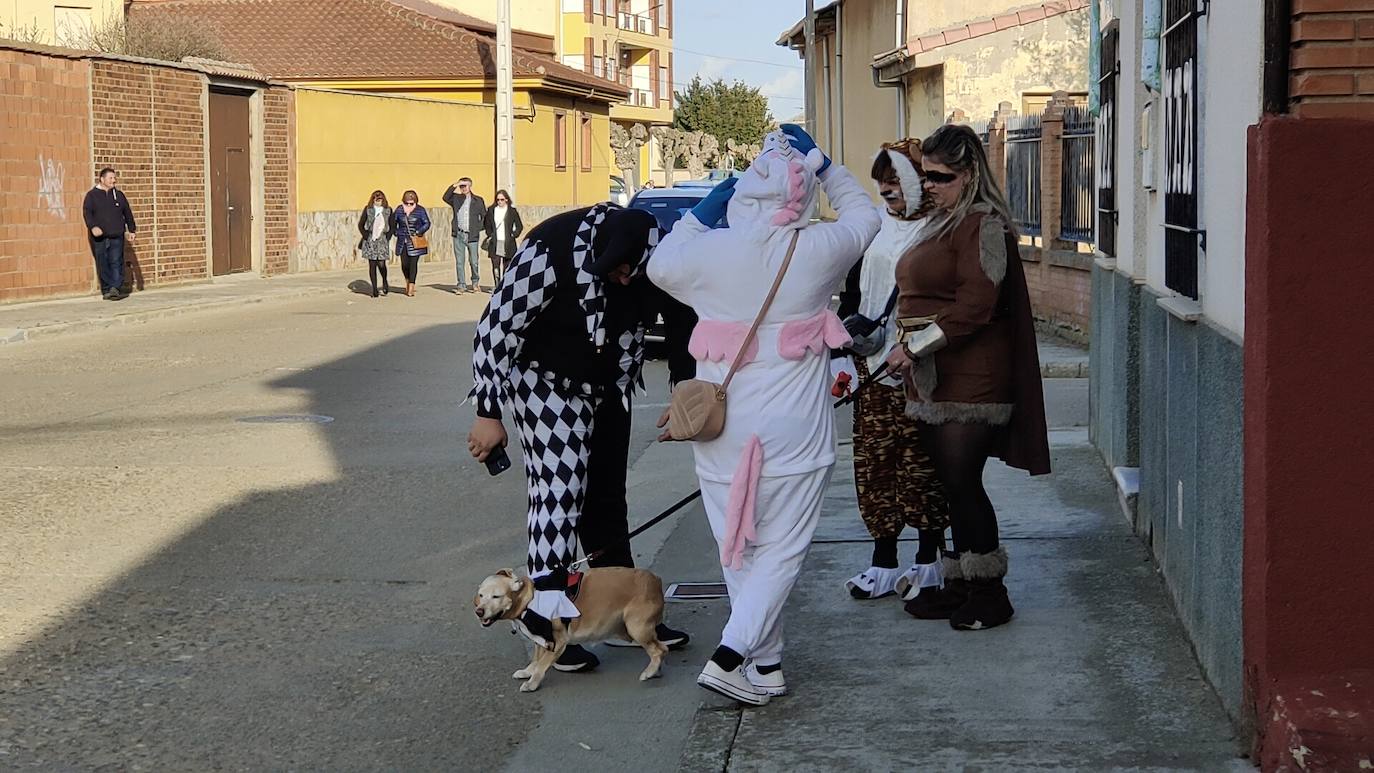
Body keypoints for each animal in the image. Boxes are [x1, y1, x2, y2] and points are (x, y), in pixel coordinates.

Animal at [475, 565, 667, 691]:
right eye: (481, 595)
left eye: (496, 596)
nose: (479, 611)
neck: (528, 602)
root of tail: (656, 580)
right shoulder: (540, 639)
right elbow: (536, 659)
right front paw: (527, 672)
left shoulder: (558, 641)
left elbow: (541, 664)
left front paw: (532, 683)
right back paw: (655, 670)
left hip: (636, 627)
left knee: (660, 649)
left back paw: (650, 671)